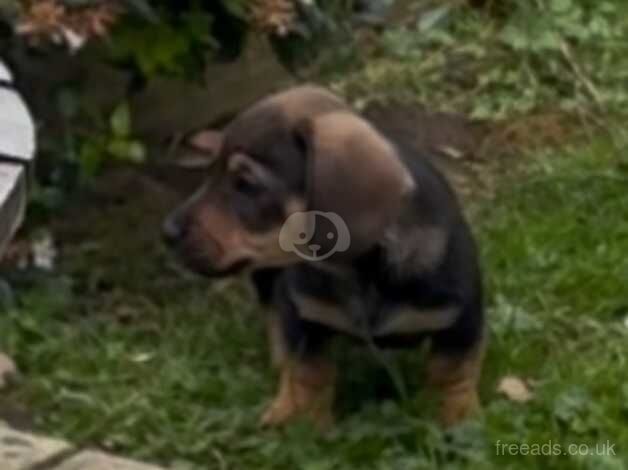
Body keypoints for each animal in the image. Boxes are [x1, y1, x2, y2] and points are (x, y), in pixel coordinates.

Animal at [162, 85, 486, 430]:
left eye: (247, 185)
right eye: (209, 173)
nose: (166, 232)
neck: (358, 271)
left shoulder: (460, 321)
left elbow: (452, 375)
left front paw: (458, 418)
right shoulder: (305, 319)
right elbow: (309, 373)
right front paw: (308, 423)